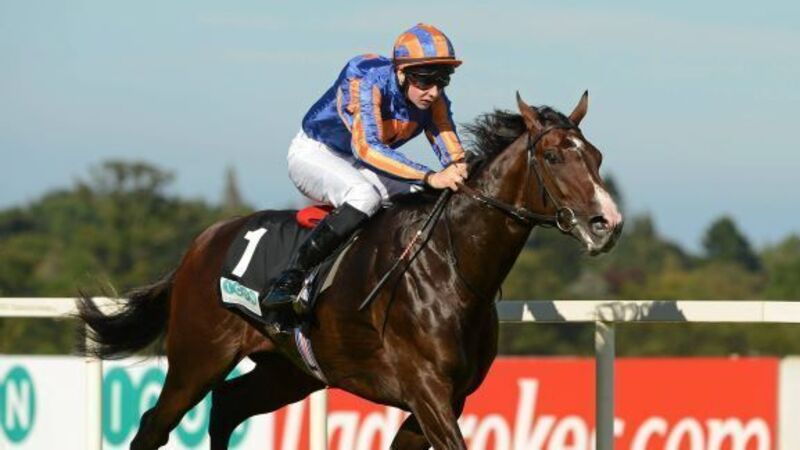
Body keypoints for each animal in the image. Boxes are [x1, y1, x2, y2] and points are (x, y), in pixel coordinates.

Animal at [77, 92, 623, 450]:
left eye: (596, 156)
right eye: (552, 155)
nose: (608, 223)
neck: (450, 269)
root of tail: (201, 243)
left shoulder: (445, 400)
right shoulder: (427, 391)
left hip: (287, 371)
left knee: (228, 407)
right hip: (198, 357)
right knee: (154, 425)